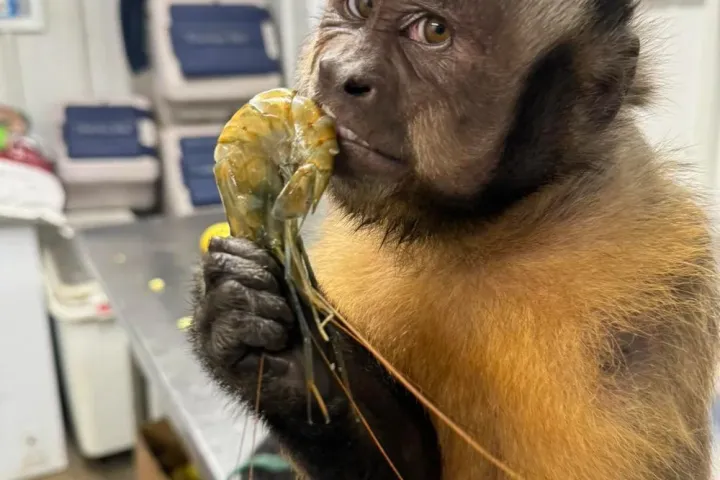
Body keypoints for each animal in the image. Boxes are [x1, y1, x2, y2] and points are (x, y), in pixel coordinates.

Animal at [189, 0, 720, 478]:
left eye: (434, 31)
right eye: (359, 8)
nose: (340, 73)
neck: (487, 222)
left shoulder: (642, 324)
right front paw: (282, 354)